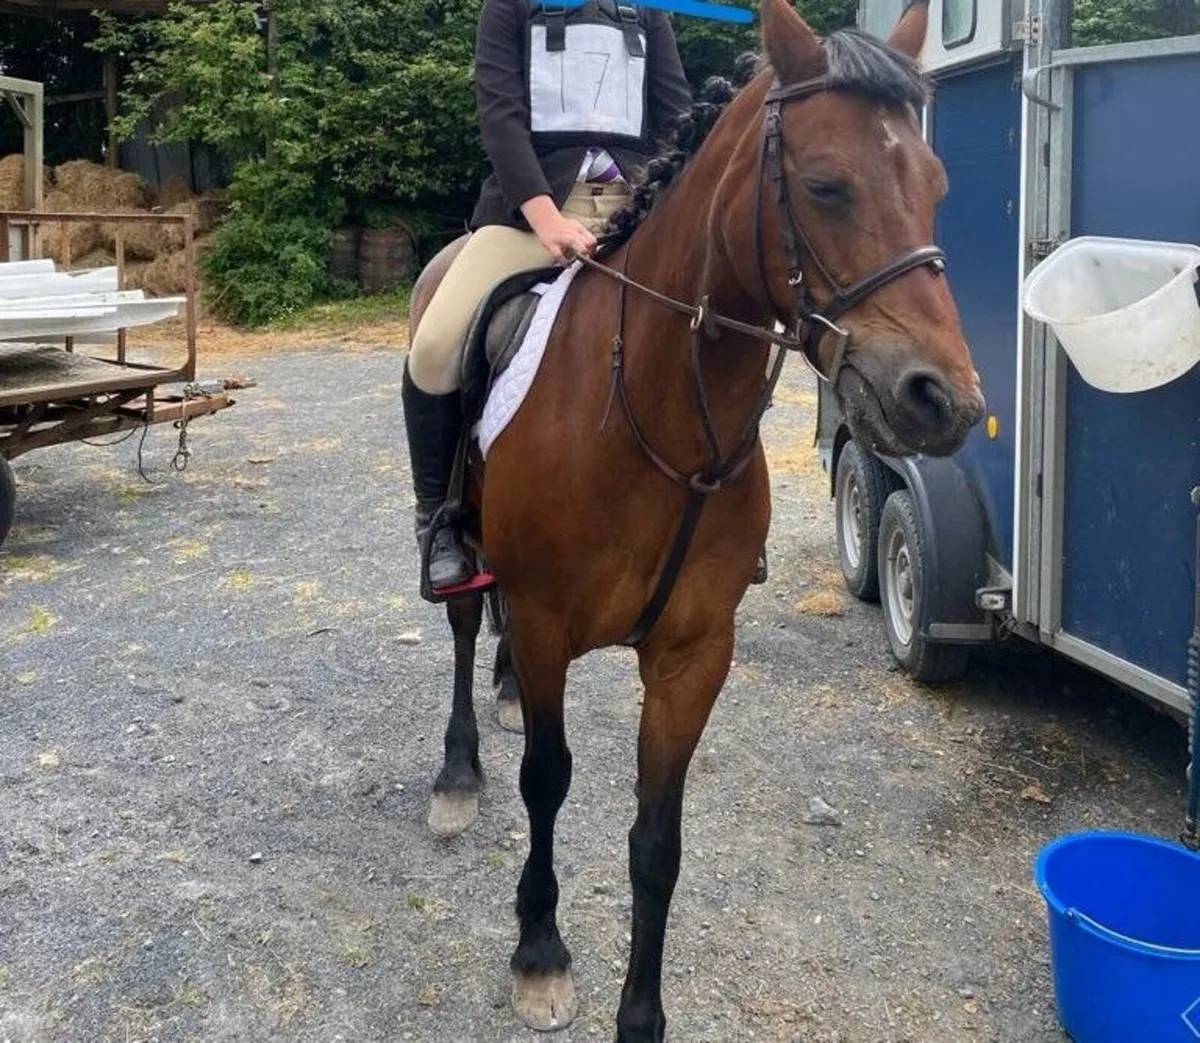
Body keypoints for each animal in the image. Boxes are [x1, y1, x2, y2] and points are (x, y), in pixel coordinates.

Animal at [405, 0, 984, 1038]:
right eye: (825, 186)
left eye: (933, 184)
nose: (941, 401)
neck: (652, 407)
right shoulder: (548, 625)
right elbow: (547, 781)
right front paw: (540, 952)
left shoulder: (693, 652)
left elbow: (658, 837)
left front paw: (642, 1014)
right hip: (462, 535)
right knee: (469, 622)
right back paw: (459, 771)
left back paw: (503, 697)